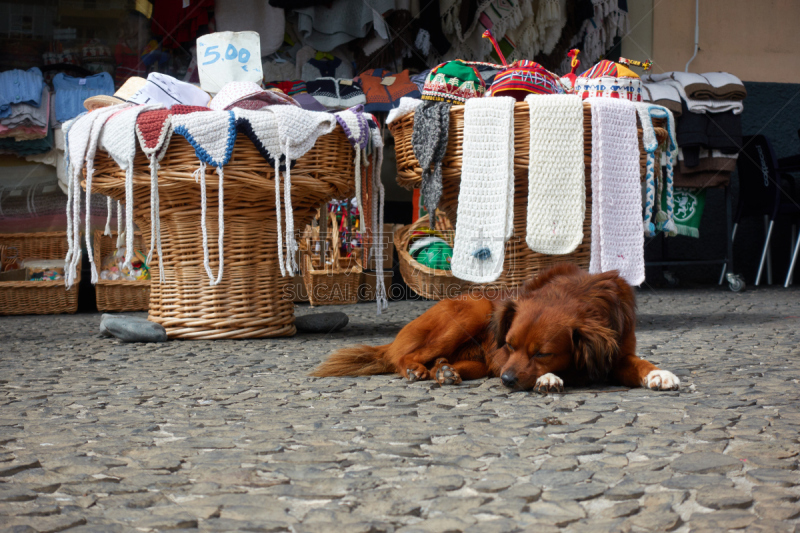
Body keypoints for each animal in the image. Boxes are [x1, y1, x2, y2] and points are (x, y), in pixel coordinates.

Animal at [312, 262, 680, 390]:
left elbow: (637, 362)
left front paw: (657, 373)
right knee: (403, 359)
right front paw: (549, 379)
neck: (578, 292)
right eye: (510, 345)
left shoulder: (617, 349)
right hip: (471, 312)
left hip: (477, 359)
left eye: (543, 353)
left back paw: (445, 372)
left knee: (444, 364)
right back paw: (417, 369)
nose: (506, 380)